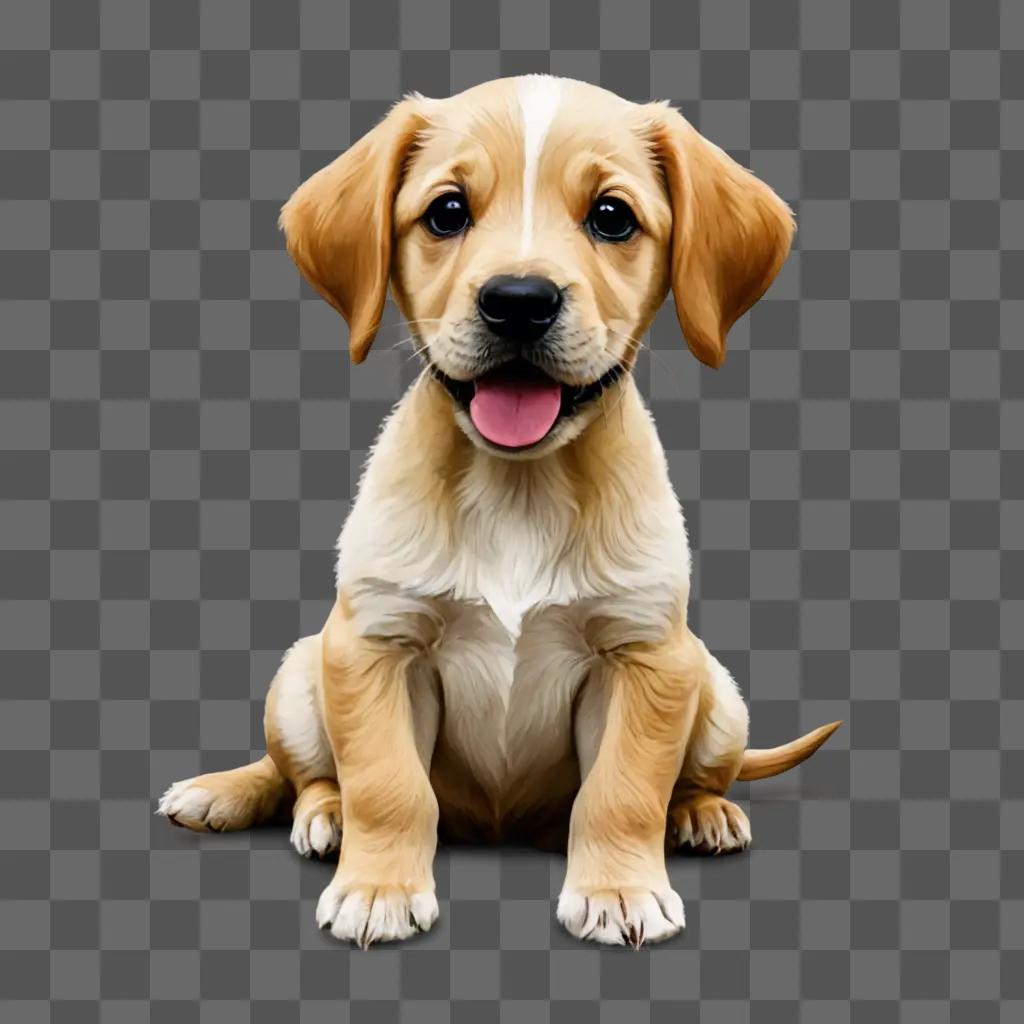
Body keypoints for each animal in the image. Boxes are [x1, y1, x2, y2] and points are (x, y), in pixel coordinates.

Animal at [157, 75, 839, 946]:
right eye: (447, 211)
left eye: (612, 216)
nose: (519, 301)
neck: (520, 489)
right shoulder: (375, 643)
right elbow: (387, 783)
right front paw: (378, 889)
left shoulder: (647, 656)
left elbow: (622, 790)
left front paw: (620, 891)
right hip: (304, 671)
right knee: (301, 771)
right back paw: (281, 804)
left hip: (715, 691)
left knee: (687, 779)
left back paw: (702, 813)